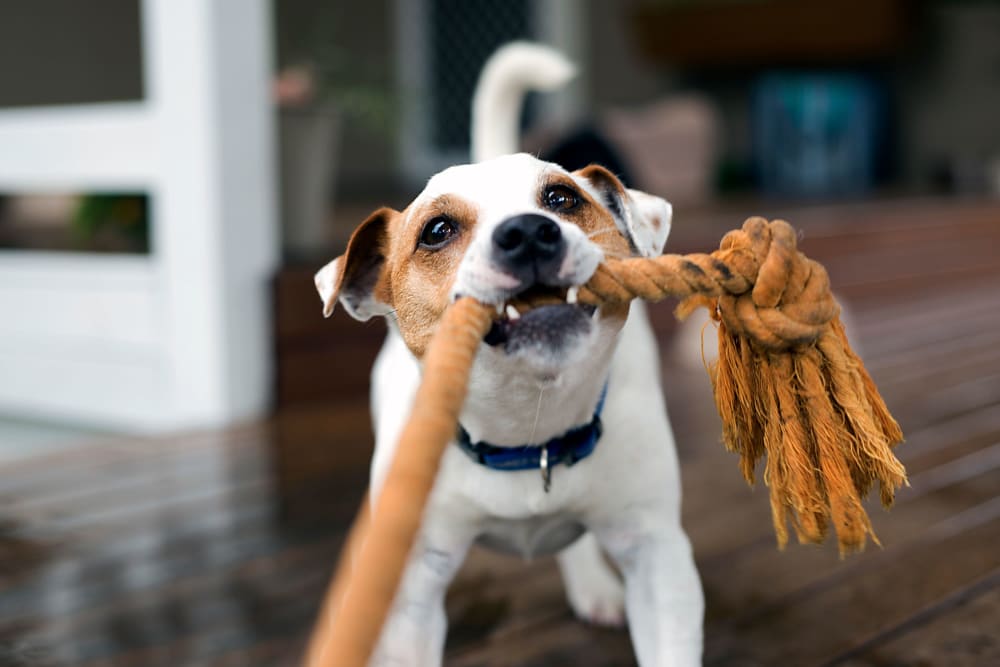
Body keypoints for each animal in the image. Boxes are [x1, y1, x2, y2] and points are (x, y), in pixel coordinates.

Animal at [314, 43, 704, 667]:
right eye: (437, 230)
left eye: (562, 198)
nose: (527, 232)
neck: (528, 430)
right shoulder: (413, 592)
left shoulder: (658, 558)